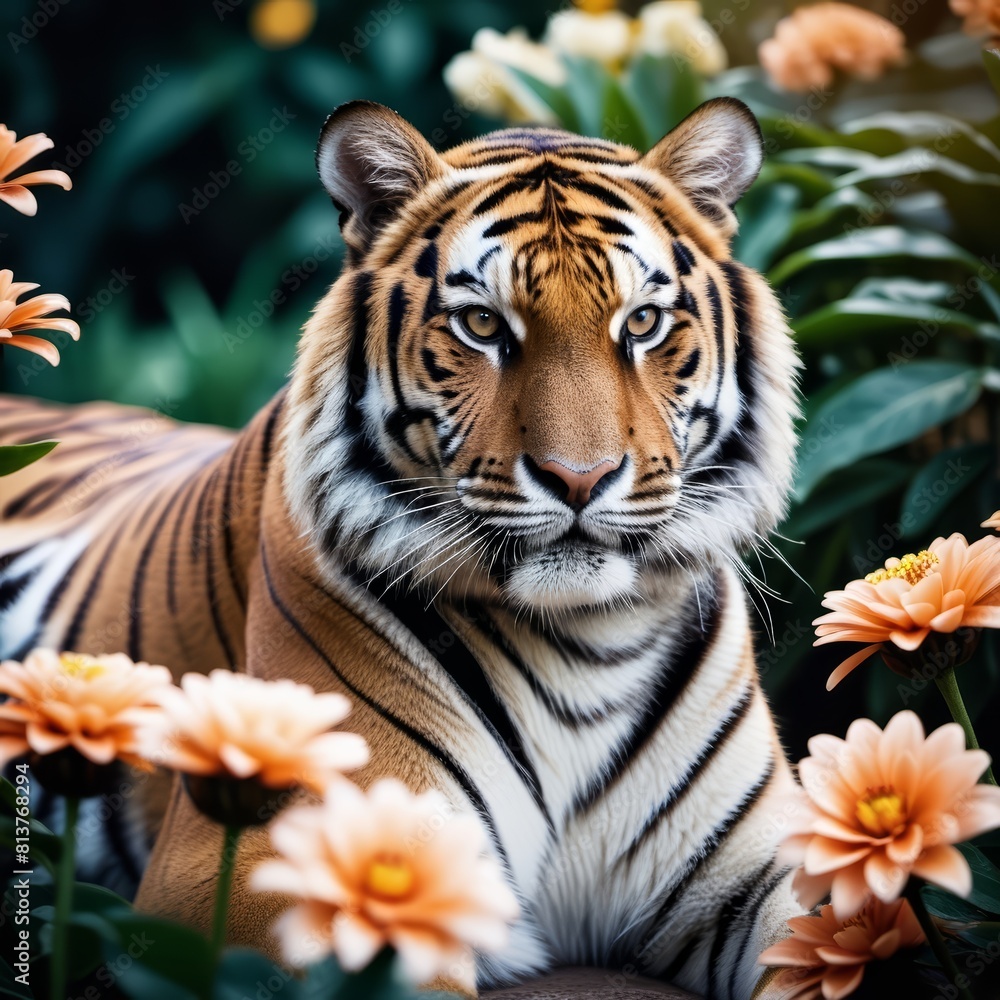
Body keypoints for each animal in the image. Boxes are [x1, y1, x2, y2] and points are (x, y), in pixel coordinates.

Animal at [0, 97, 804, 999]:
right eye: (482, 324)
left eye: (642, 322)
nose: (580, 477)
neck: (587, 642)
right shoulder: (264, 868)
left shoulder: (763, 865)